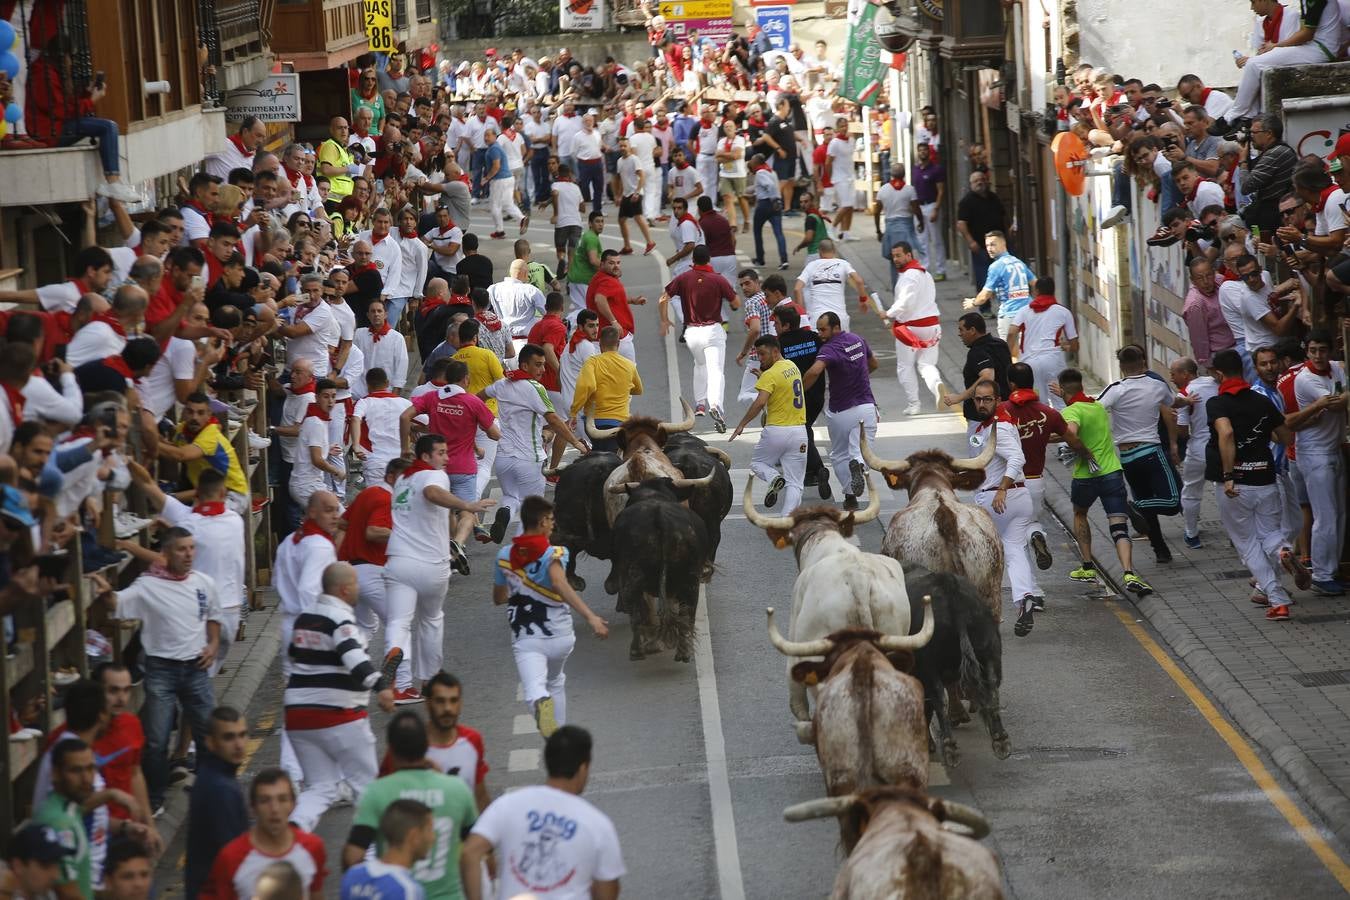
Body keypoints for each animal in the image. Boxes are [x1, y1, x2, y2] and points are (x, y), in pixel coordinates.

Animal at [604, 477, 707, 661]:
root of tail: (660, 518)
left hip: (632, 576)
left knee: (636, 611)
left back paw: (638, 651)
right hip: (691, 579)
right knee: (687, 613)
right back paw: (683, 651)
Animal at [901, 558, 1009, 766]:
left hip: (928, 665)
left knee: (937, 698)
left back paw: (949, 748)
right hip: (990, 651)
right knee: (992, 688)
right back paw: (1000, 740)